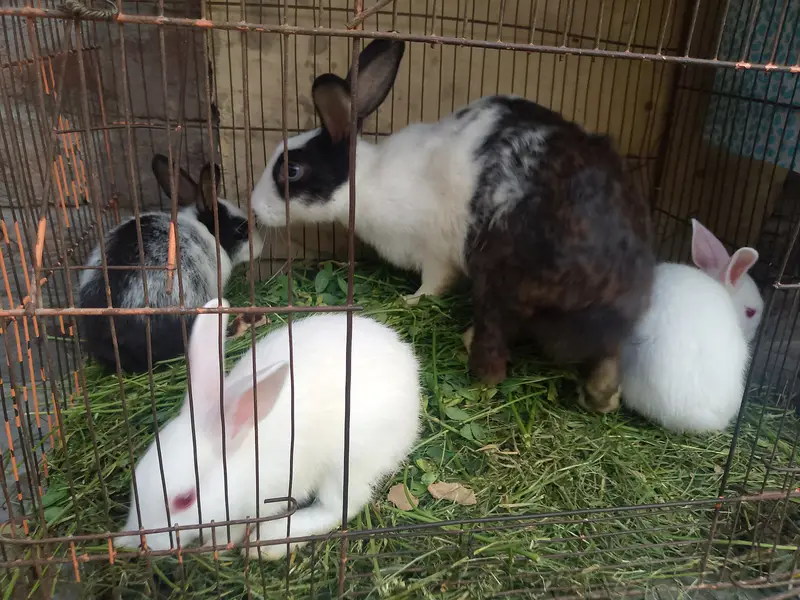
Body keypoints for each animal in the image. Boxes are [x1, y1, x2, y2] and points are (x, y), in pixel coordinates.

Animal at [114, 298, 421, 560]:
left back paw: (268, 543)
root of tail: (410, 369)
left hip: (348, 462)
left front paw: (218, 546)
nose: (138, 544)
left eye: (185, 500)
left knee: (339, 508)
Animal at [251, 39, 654, 413]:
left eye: (291, 171)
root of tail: (600, 266)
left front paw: (410, 300)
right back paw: (602, 396)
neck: (366, 181)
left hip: (498, 281)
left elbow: (434, 284)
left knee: (493, 359)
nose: (254, 209)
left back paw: (472, 350)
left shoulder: (435, 253)